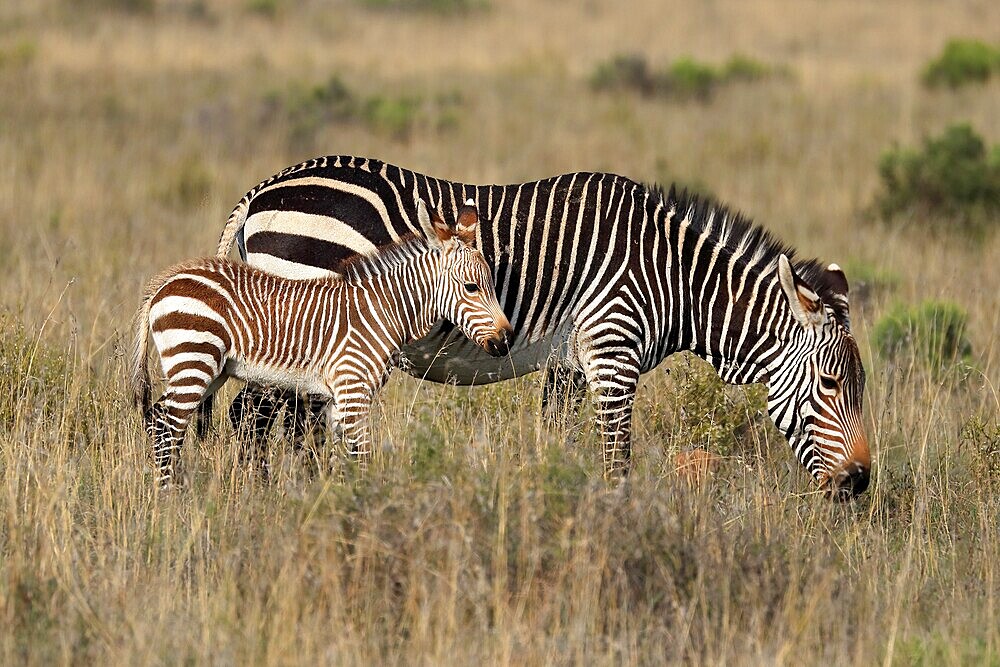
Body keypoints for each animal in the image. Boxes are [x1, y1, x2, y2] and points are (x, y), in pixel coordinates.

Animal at [130, 200, 512, 486]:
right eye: (471, 288)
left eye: (491, 285)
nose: (505, 342)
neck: (382, 311)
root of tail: (166, 282)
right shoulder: (353, 390)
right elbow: (361, 456)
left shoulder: (339, 398)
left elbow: (340, 457)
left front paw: (338, 502)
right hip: (194, 359)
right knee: (166, 424)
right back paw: (169, 499)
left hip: (209, 369)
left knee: (161, 420)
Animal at [217, 157, 868, 498]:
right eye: (831, 385)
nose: (860, 483)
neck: (672, 277)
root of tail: (263, 189)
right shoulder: (613, 353)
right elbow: (616, 457)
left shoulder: (571, 365)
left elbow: (563, 444)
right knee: (254, 423)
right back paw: (269, 504)